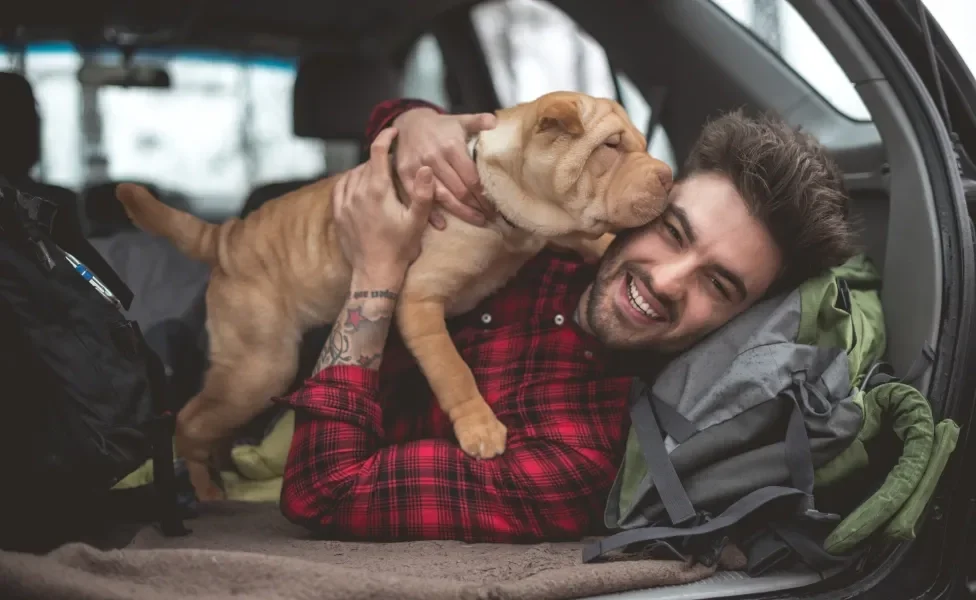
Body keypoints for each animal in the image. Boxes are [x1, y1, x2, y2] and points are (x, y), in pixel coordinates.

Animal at [114, 90, 672, 502]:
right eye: (610, 147)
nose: (668, 176)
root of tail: (227, 236)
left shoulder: (551, 234)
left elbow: (594, 242)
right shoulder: (419, 302)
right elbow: (453, 370)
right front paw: (480, 428)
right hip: (258, 369)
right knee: (189, 421)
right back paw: (206, 489)